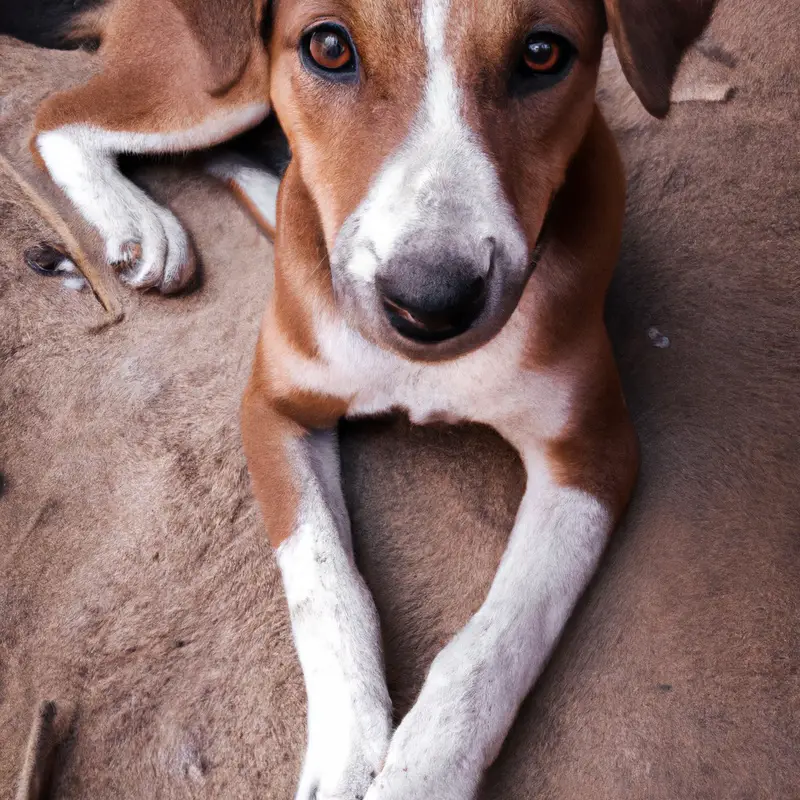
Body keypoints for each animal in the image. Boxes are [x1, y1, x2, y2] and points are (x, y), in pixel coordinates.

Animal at [3, 0, 720, 796]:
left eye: (541, 53)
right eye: (327, 46)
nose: (431, 304)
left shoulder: (593, 452)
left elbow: (500, 637)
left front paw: (421, 774)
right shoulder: (273, 406)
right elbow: (326, 585)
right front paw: (349, 746)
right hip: (218, 84)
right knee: (59, 116)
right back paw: (137, 221)